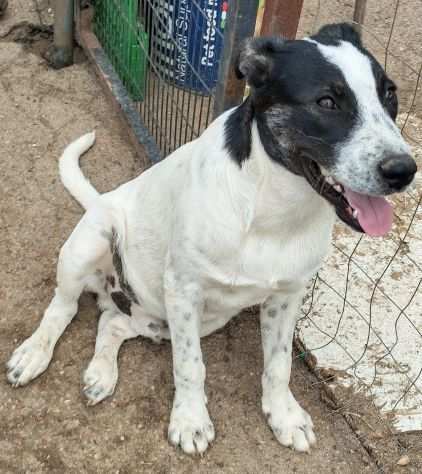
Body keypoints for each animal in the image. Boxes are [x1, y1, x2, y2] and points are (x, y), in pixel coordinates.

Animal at [5, 24, 416, 454]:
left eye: (390, 93)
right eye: (326, 101)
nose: (403, 171)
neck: (275, 208)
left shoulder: (287, 296)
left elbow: (279, 364)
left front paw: (283, 415)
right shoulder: (184, 290)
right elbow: (190, 365)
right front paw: (190, 420)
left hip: (167, 317)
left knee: (110, 322)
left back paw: (101, 374)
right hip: (92, 243)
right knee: (63, 308)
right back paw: (34, 353)